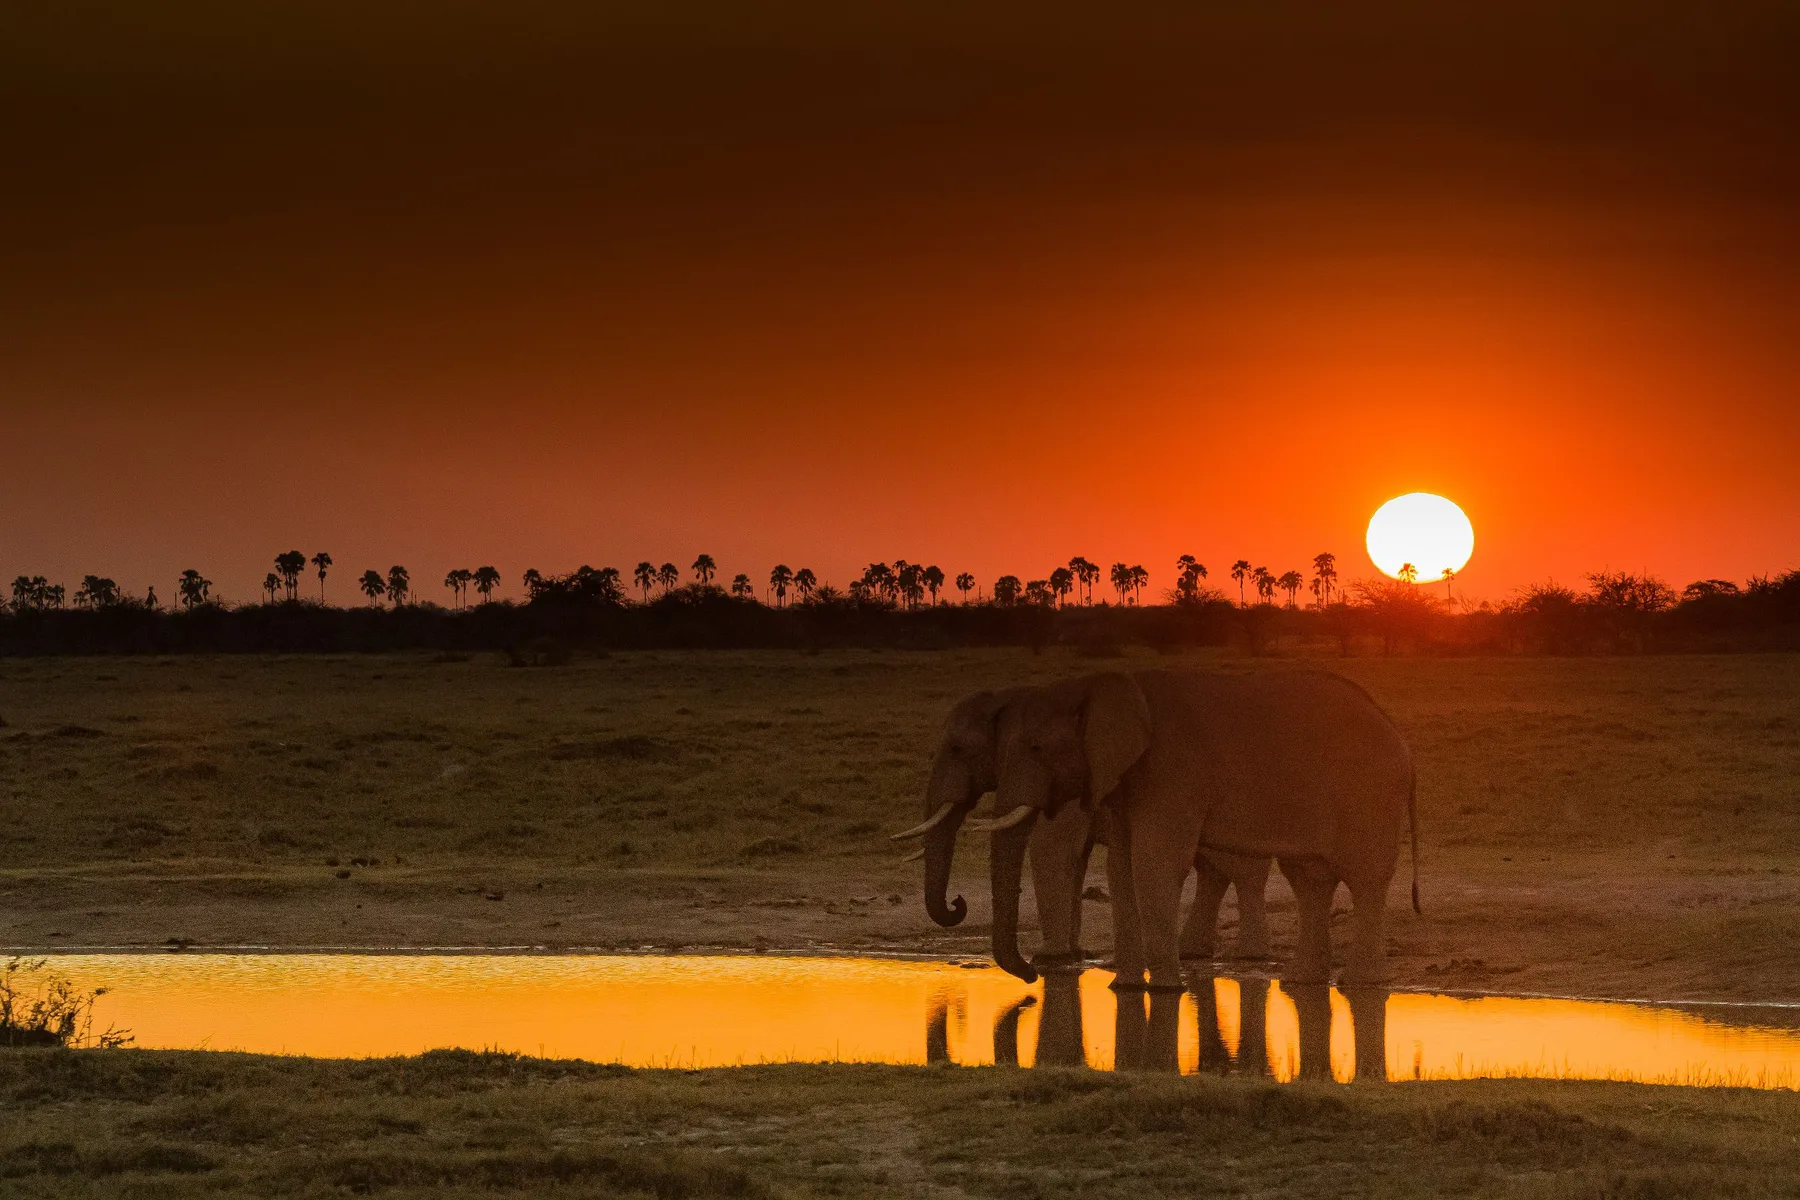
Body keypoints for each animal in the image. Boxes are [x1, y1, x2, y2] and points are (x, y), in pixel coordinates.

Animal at [893, 684, 1272, 973]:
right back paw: (1194, 952)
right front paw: (1069, 957)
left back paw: (1247, 956)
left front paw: (1049, 959)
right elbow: (1071, 859)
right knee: (1214, 870)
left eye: (957, 749)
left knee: (1242, 871)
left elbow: (1052, 850)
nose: (958, 902)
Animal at [967, 669, 1418, 990]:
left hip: (1368, 794)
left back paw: (1358, 984)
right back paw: (1299, 982)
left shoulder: (1169, 774)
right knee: (1308, 880)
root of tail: (1395, 730)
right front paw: (1123, 987)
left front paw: (1164, 989)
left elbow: (1151, 862)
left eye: (1036, 748)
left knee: (1363, 878)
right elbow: (1121, 868)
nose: (1031, 977)